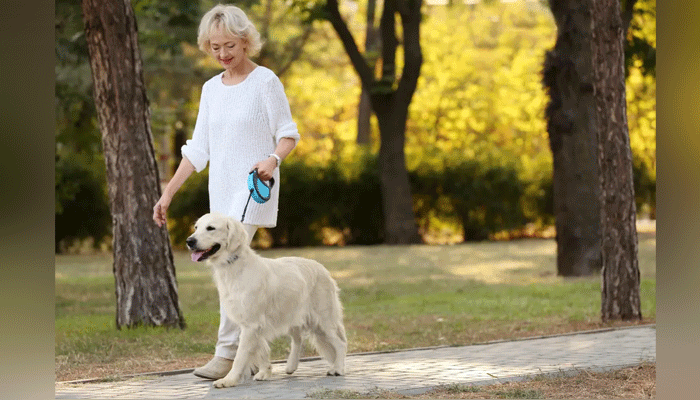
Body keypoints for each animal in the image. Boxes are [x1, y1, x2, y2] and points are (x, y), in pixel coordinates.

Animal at [186, 213, 347, 388]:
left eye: (211, 228)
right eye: (196, 227)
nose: (189, 241)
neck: (233, 265)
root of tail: (323, 269)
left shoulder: (251, 324)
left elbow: (240, 357)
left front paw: (229, 380)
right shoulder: (252, 324)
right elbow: (261, 350)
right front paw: (265, 372)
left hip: (323, 321)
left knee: (340, 343)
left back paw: (337, 369)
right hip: (292, 314)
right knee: (298, 339)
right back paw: (291, 366)